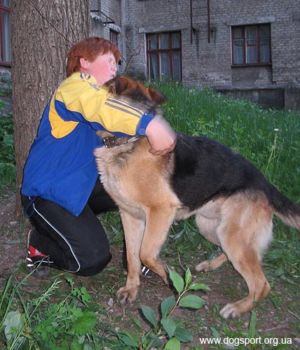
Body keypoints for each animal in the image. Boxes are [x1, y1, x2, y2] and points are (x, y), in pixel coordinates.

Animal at [95, 76, 300, 318]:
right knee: (239, 256)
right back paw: (210, 265)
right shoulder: (129, 215)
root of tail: (265, 183)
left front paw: (167, 274)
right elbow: (132, 257)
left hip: (232, 235)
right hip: (210, 227)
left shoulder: (160, 211)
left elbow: (145, 254)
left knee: (261, 284)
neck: (127, 144)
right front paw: (132, 288)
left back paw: (238, 307)